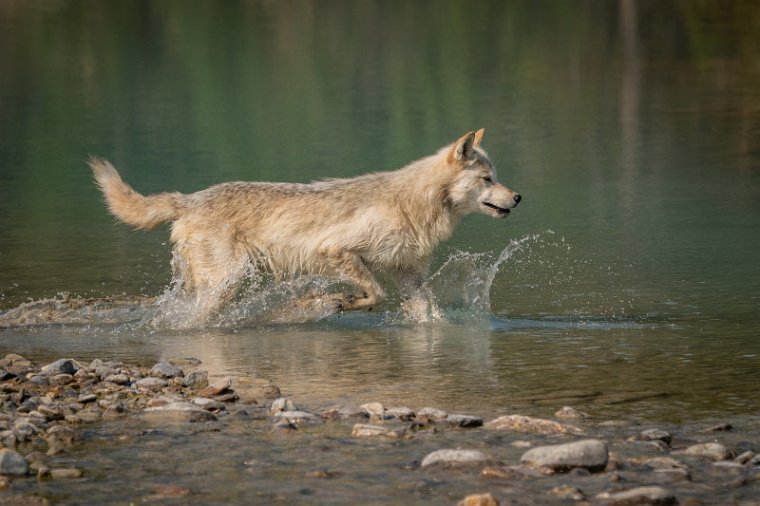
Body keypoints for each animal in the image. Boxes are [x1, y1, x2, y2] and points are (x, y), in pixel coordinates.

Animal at [87, 128, 516, 322]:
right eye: (488, 179)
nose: (518, 197)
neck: (417, 204)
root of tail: (190, 198)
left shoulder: (408, 275)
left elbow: (428, 315)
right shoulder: (338, 251)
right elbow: (374, 293)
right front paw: (331, 302)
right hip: (228, 282)